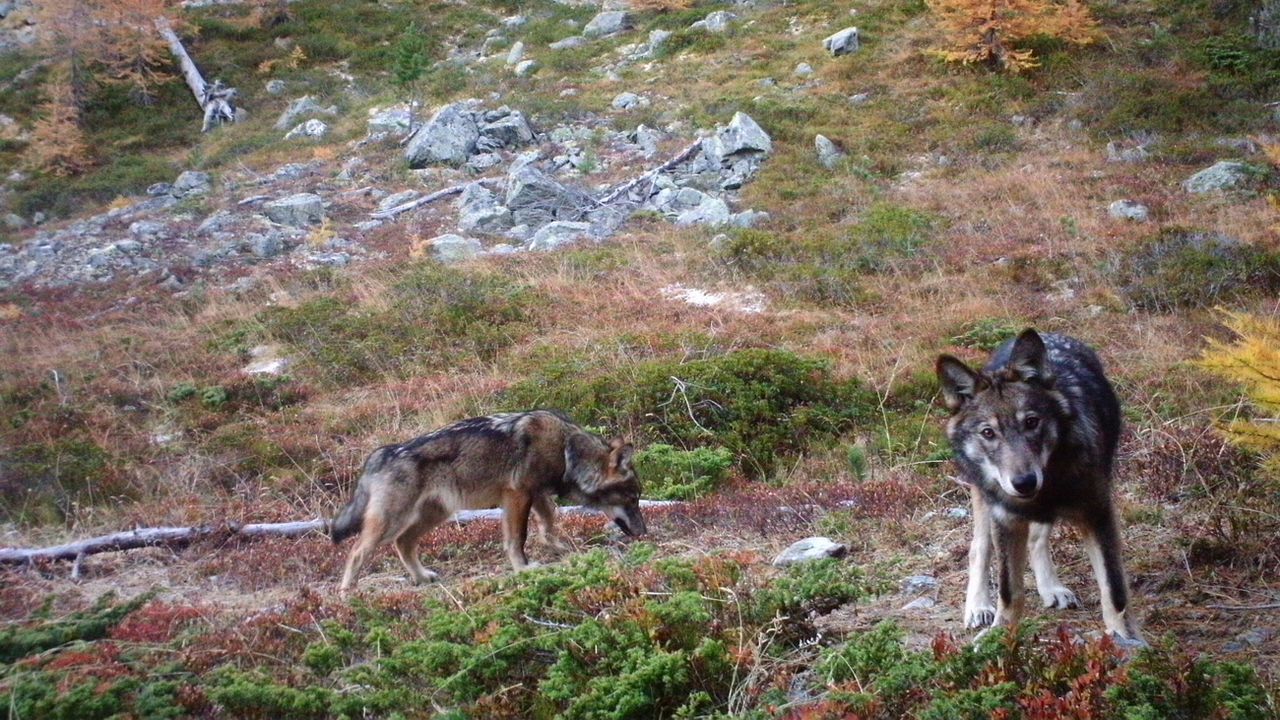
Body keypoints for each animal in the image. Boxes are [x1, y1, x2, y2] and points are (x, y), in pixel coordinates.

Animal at [332, 409, 650, 589]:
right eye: (632, 498)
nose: (644, 533)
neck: (566, 449)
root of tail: (379, 454)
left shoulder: (536, 495)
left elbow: (549, 524)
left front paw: (558, 548)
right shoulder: (517, 495)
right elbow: (518, 538)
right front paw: (523, 569)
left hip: (433, 515)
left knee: (403, 544)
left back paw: (422, 578)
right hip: (391, 522)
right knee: (356, 552)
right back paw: (348, 595)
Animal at [931, 327, 1141, 635]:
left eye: (1031, 422)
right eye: (988, 432)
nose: (1025, 482)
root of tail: (1049, 333)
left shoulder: (1099, 515)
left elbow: (1114, 590)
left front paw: (1122, 638)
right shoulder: (1005, 520)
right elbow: (1009, 592)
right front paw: (999, 637)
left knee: (1036, 539)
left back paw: (1051, 589)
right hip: (983, 499)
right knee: (978, 548)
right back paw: (978, 607)